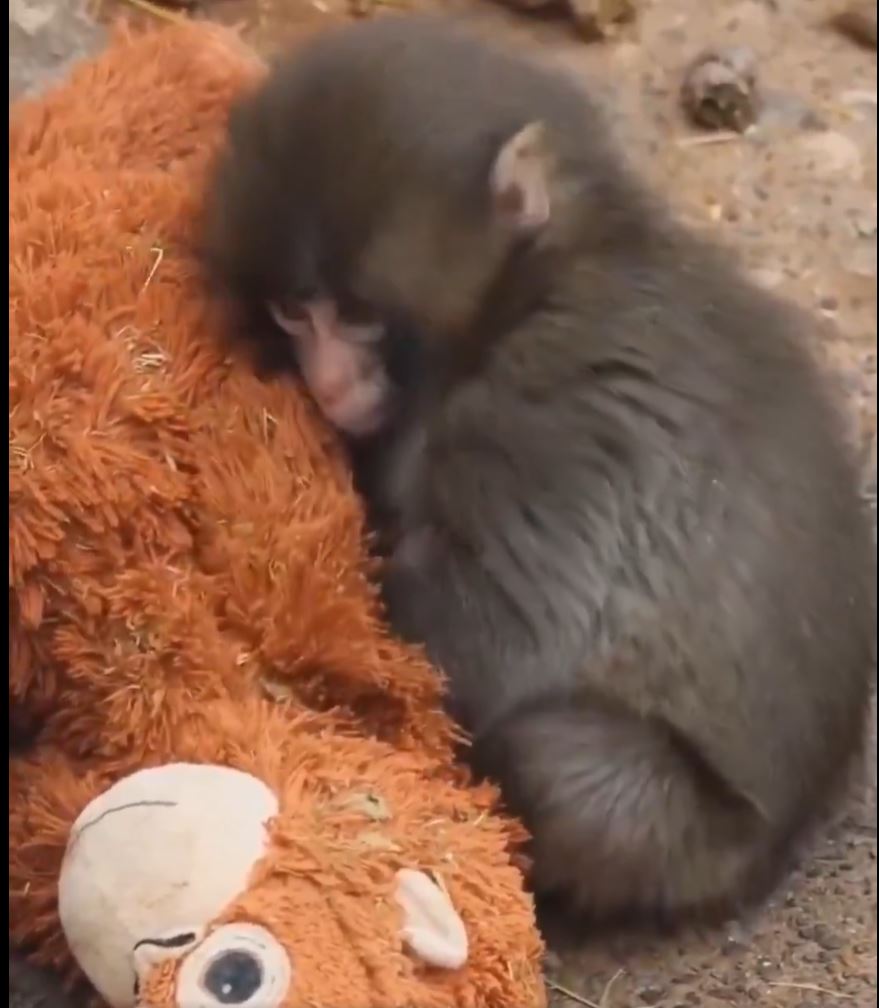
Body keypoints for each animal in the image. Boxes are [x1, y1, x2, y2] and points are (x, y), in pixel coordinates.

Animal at [201, 15, 876, 928]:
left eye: (361, 314)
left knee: (557, 765)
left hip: (680, 837)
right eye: (293, 312)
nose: (329, 384)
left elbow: (484, 641)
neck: (533, 283)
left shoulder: (541, 411)